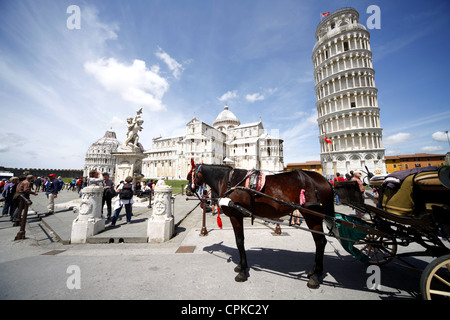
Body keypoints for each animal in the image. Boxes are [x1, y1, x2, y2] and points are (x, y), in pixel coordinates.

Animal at [185, 161, 336, 288]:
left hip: (312, 215)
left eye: (190, 174)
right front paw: (241, 266)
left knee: (320, 241)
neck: (229, 181)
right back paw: (313, 271)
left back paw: (315, 276)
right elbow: (240, 241)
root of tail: (325, 180)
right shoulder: (238, 216)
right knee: (319, 241)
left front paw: (242, 272)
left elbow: (239, 241)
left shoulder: (235, 215)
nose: (187, 190)